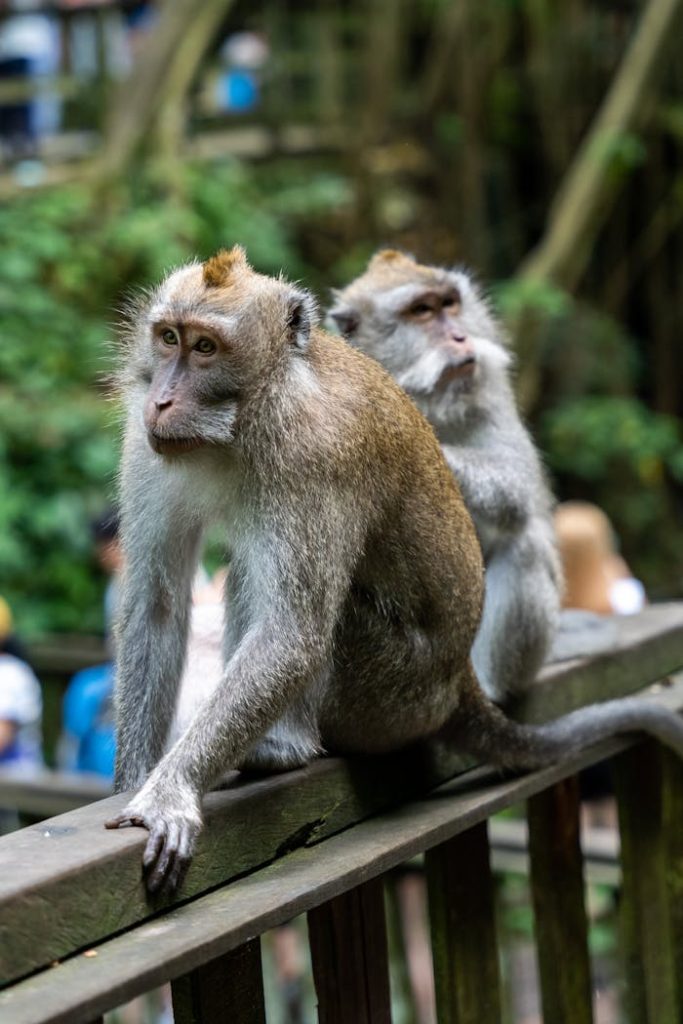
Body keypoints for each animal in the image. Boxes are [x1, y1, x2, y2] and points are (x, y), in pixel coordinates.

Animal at [104, 243, 683, 892]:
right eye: (168, 338)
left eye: (205, 347)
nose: (161, 400)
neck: (251, 414)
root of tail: (459, 680)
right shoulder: (147, 444)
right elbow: (155, 604)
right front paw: (135, 780)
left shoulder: (315, 456)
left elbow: (291, 637)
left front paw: (171, 791)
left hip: (394, 693)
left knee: (287, 595)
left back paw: (284, 747)